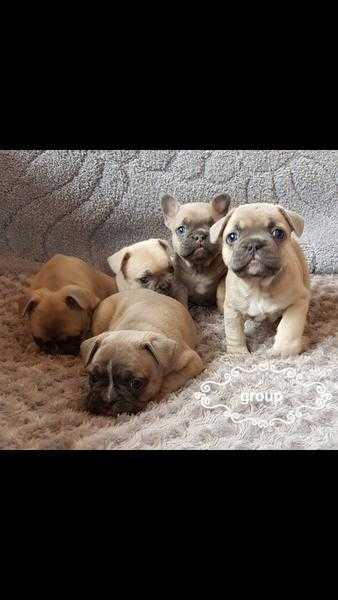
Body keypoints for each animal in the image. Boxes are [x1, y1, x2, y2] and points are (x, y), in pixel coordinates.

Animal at [81, 290, 203, 418]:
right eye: (93, 378)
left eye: (136, 383)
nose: (107, 400)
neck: (135, 329)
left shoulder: (192, 362)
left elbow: (169, 381)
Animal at [210, 204, 310, 358]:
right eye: (232, 237)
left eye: (278, 233)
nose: (254, 244)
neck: (258, 285)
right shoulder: (232, 309)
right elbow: (234, 332)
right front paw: (238, 353)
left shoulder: (298, 302)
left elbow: (289, 327)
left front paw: (282, 351)